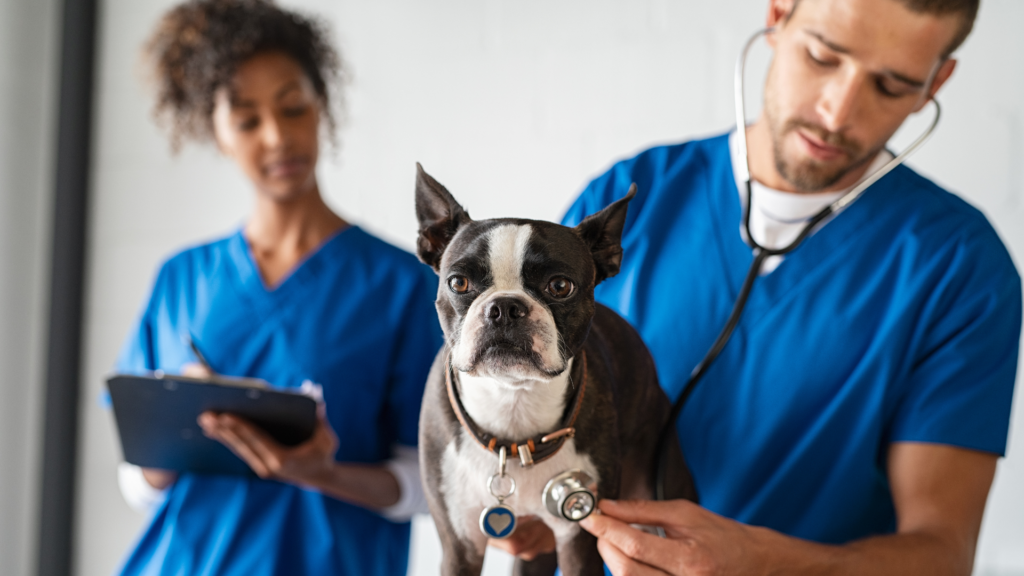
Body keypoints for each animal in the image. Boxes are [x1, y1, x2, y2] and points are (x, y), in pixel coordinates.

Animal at [413, 163, 696, 569]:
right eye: (458, 282)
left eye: (560, 286)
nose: (504, 307)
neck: (513, 405)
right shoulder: (459, 545)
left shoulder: (578, 538)